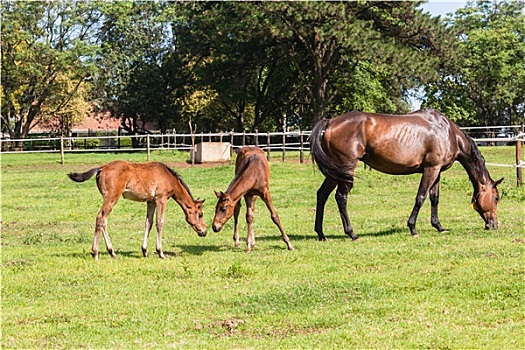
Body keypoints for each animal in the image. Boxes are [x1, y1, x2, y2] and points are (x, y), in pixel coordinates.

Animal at [66, 160, 205, 258]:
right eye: (200, 214)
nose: (204, 231)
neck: (170, 178)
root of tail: (101, 168)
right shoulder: (161, 199)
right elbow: (159, 223)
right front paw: (160, 252)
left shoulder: (151, 201)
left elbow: (148, 223)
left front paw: (144, 251)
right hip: (112, 197)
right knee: (101, 217)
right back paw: (95, 253)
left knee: (104, 220)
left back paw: (111, 252)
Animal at [310, 108, 502, 241]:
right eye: (496, 197)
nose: (494, 225)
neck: (447, 132)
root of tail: (330, 122)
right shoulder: (431, 169)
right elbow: (421, 197)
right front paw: (413, 228)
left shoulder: (437, 171)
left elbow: (434, 198)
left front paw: (439, 227)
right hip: (345, 170)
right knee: (341, 197)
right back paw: (352, 234)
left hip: (335, 172)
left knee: (322, 195)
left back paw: (321, 234)